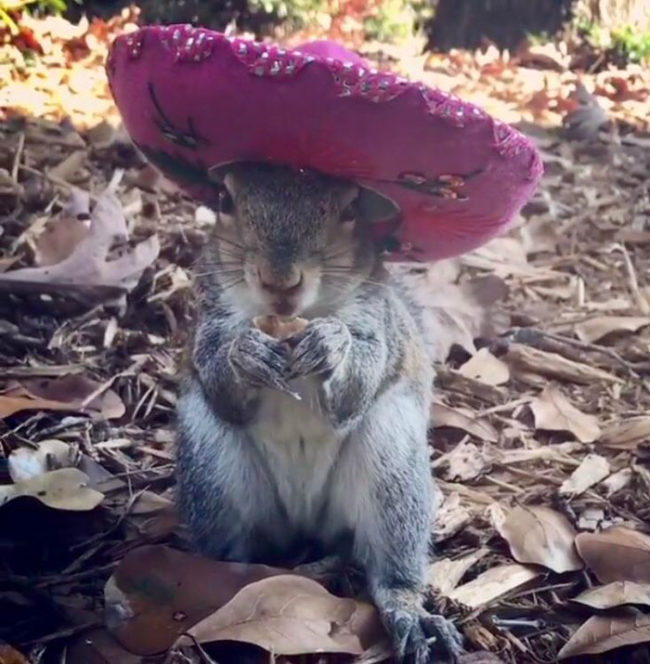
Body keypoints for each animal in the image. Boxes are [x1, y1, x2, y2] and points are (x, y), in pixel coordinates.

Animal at [175, 162, 464, 664]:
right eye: (225, 200)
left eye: (350, 210)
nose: (279, 282)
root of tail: (305, 519)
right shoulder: (209, 316)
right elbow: (219, 379)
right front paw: (244, 354)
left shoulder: (377, 321)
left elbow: (358, 382)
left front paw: (331, 344)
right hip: (212, 470)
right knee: (230, 547)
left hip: (391, 469)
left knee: (392, 569)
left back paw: (411, 613)